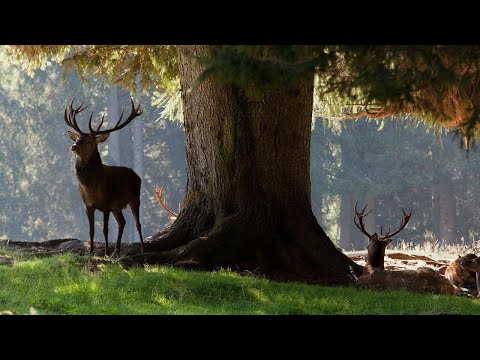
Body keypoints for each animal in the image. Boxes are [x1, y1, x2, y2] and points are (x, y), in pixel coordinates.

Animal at [64, 97, 145, 258]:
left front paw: (106, 253)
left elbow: (105, 230)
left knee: (137, 223)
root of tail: (136, 175)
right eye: (78, 138)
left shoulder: (107, 204)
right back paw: (117, 252)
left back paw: (142, 250)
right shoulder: (88, 205)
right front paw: (91, 252)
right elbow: (91, 230)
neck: (92, 188)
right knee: (122, 222)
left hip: (134, 197)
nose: (73, 146)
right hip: (117, 207)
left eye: (89, 141)